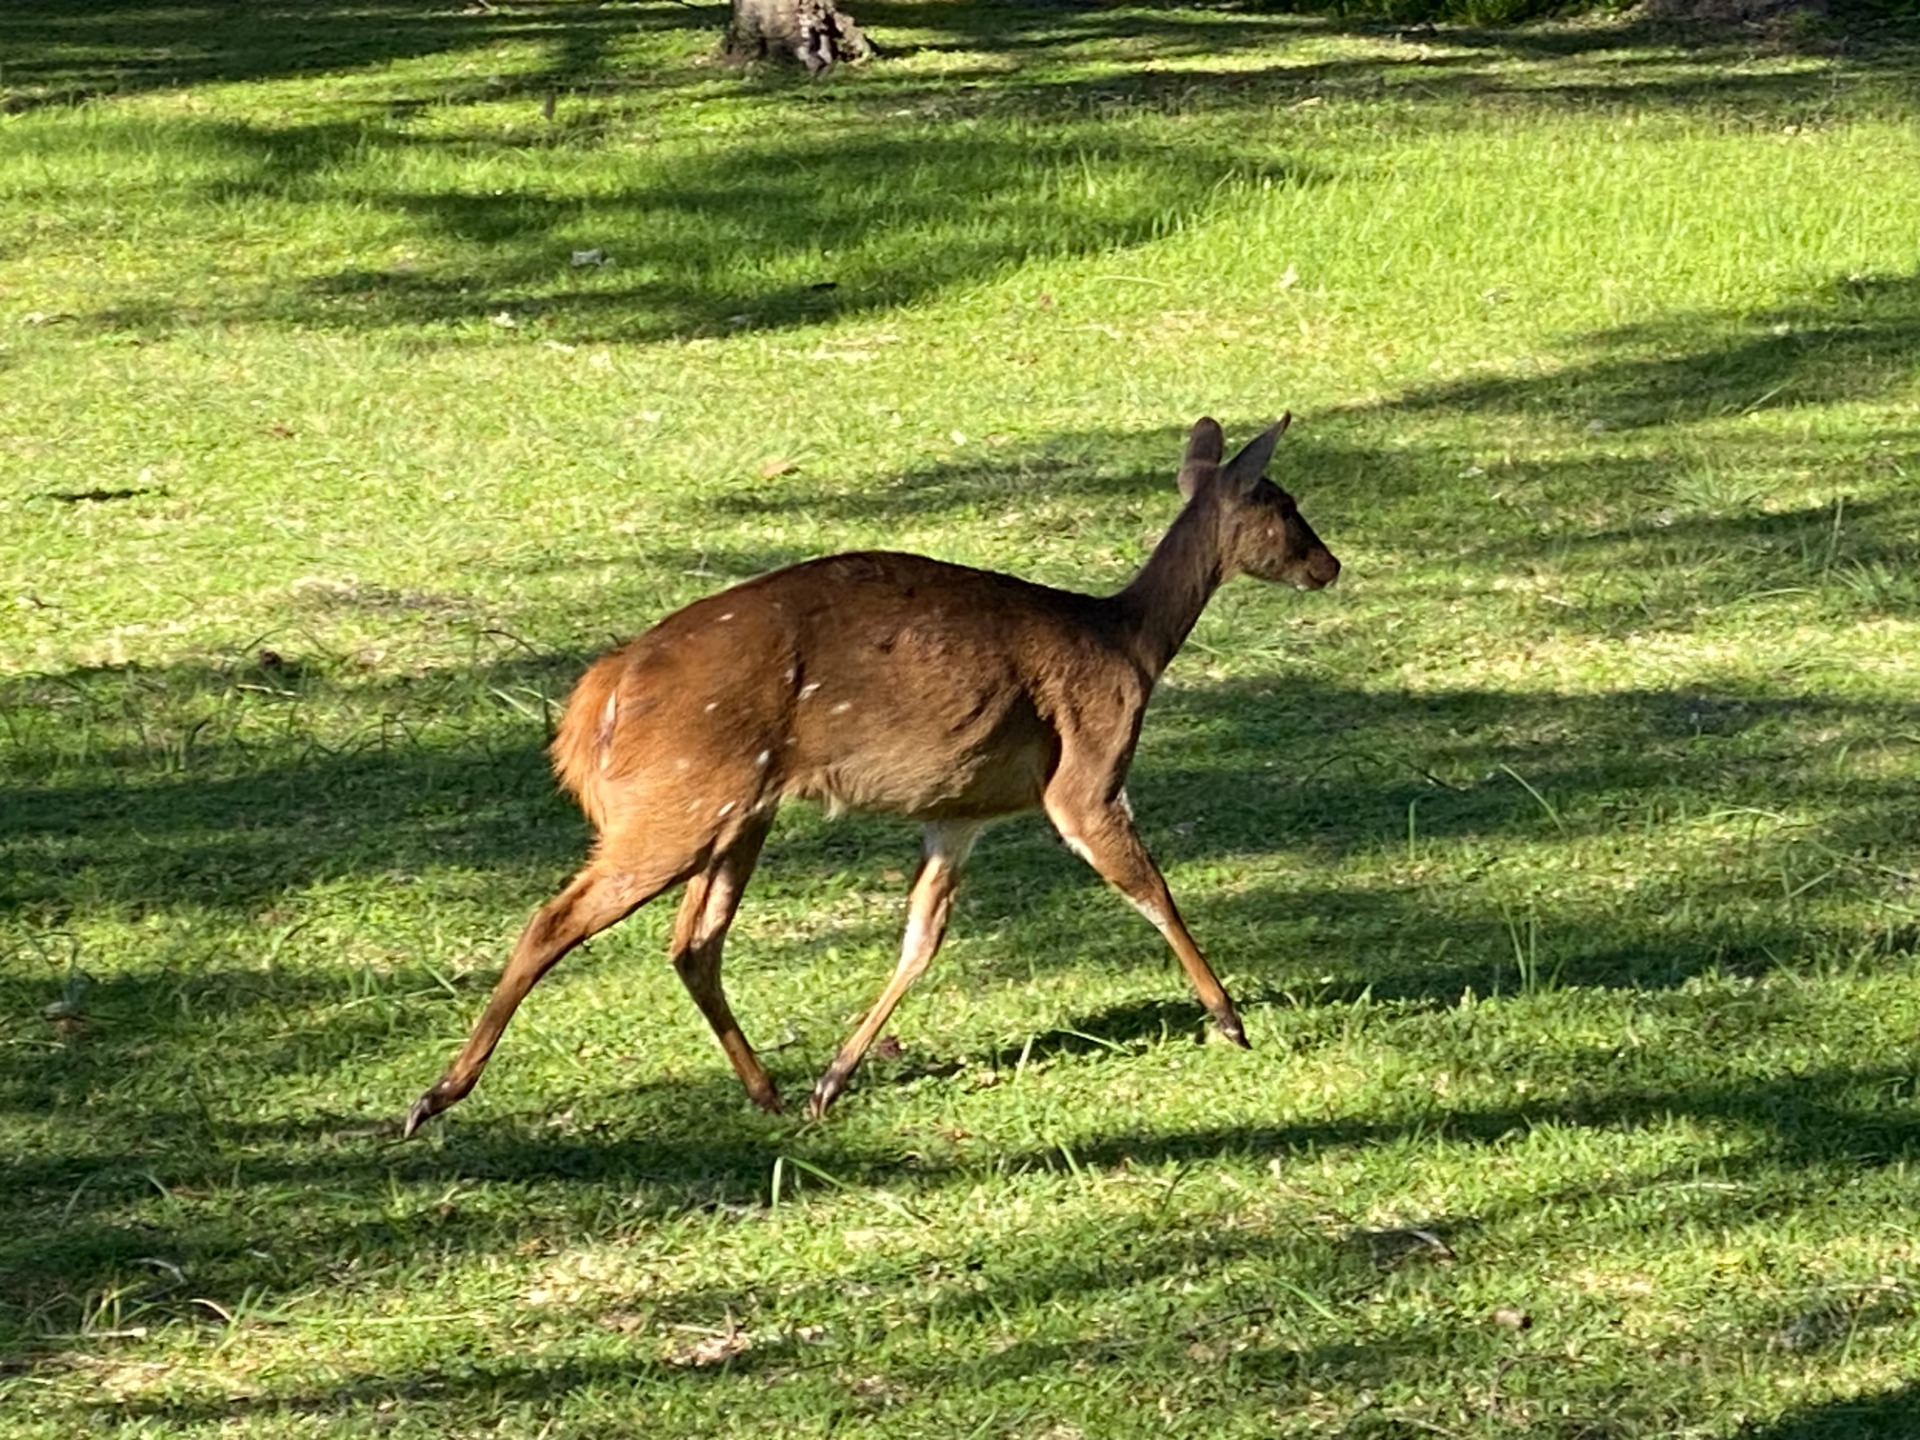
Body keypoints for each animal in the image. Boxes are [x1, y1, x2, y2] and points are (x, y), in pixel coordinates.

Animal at [403, 415, 1340, 1137]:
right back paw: (433, 1097)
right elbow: (1150, 887)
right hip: (683, 799)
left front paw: (832, 1080)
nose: (1329, 566)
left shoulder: (960, 812)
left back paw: (770, 1093)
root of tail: (599, 694)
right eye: (1286, 507)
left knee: (693, 941)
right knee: (557, 918)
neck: (1129, 644)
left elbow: (923, 935)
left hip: (737, 809)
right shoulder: (1086, 773)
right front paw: (1231, 1019)